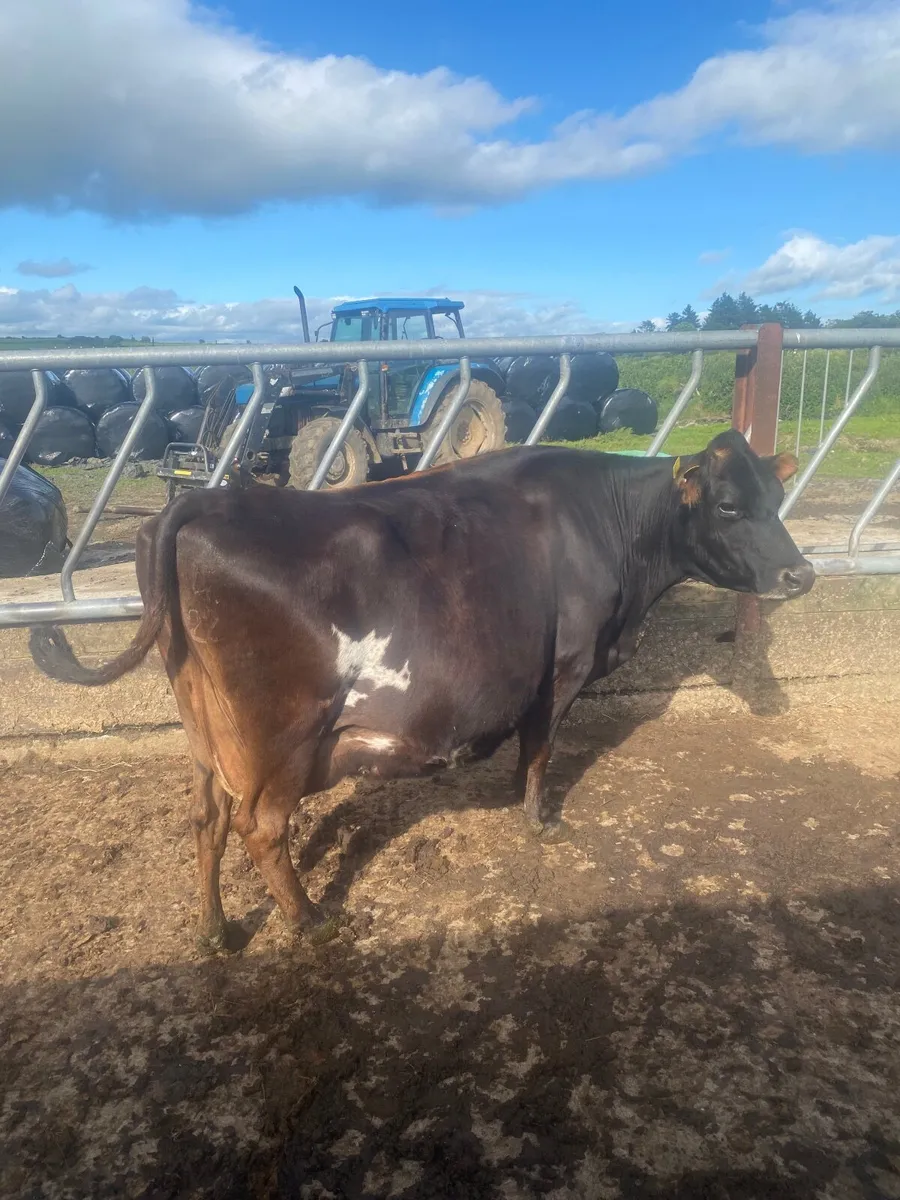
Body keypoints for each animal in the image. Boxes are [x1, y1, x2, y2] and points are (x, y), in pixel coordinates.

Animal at [30, 430, 813, 951]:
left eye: (777, 498)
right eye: (729, 506)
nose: (801, 574)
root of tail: (195, 506)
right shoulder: (562, 667)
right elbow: (540, 748)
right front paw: (539, 819)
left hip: (204, 726)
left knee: (206, 818)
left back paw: (214, 930)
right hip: (282, 731)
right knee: (260, 826)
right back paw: (311, 921)